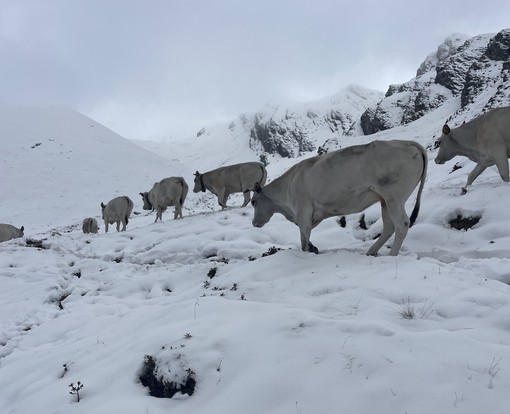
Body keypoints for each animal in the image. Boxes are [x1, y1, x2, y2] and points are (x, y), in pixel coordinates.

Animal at [251, 140, 426, 256]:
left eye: (253, 202)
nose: (254, 223)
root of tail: (406, 142)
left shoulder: (303, 213)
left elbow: (304, 239)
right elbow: (306, 238)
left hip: (394, 197)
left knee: (402, 224)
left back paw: (392, 255)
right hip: (385, 200)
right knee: (389, 227)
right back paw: (371, 252)